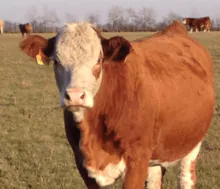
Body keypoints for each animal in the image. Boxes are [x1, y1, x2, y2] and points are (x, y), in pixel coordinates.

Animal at [19, 21, 215, 189]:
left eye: (99, 60)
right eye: (56, 61)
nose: (75, 96)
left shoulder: (137, 159)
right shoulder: (82, 162)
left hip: (191, 144)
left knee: (186, 177)